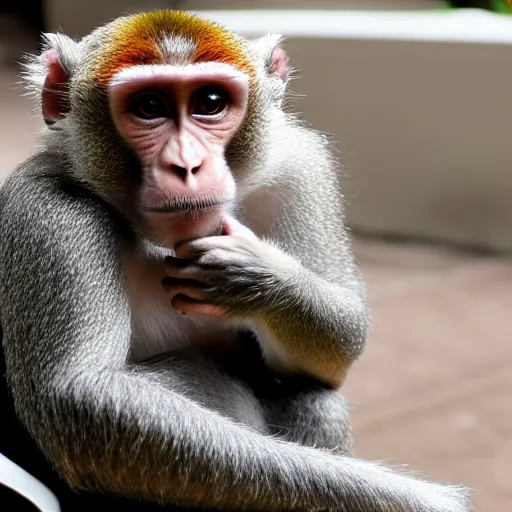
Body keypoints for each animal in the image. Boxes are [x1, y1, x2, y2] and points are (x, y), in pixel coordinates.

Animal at [0, 9, 472, 512]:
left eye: (209, 102)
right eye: (149, 106)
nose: (186, 165)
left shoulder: (300, 168)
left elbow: (345, 334)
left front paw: (255, 278)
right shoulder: (46, 213)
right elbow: (80, 398)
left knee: (312, 394)